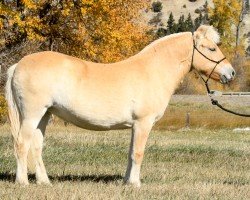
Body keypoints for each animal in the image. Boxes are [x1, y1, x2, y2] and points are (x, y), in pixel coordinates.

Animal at [5, 25, 234, 188]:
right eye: (212, 48)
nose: (230, 72)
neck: (152, 71)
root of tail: (18, 65)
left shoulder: (135, 125)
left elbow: (131, 152)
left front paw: (127, 182)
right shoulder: (143, 123)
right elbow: (138, 153)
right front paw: (136, 184)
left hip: (44, 115)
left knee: (36, 146)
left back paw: (44, 182)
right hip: (32, 115)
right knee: (22, 144)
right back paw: (23, 182)